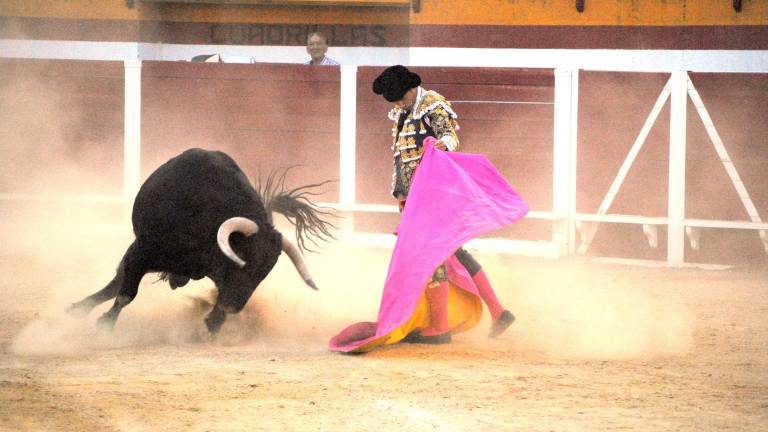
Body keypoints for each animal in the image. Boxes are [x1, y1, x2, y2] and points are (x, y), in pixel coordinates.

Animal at [70, 148, 334, 334]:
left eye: (265, 271)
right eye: (243, 259)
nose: (234, 308)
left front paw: (211, 324)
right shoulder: (142, 251)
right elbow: (126, 293)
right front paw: (104, 324)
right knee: (117, 282)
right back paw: (78, 309)